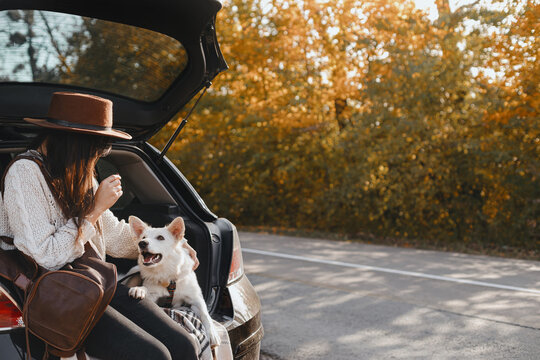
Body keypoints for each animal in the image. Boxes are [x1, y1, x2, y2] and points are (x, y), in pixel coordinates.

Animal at [127, 215, 220, 348]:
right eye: (143, 237)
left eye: (160, 237)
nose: (142, 243)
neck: (168, 276)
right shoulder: (153, 297)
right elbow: (146, 290)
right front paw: (139, 289)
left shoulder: (196, 299)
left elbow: (205, 314)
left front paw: (212, 334)